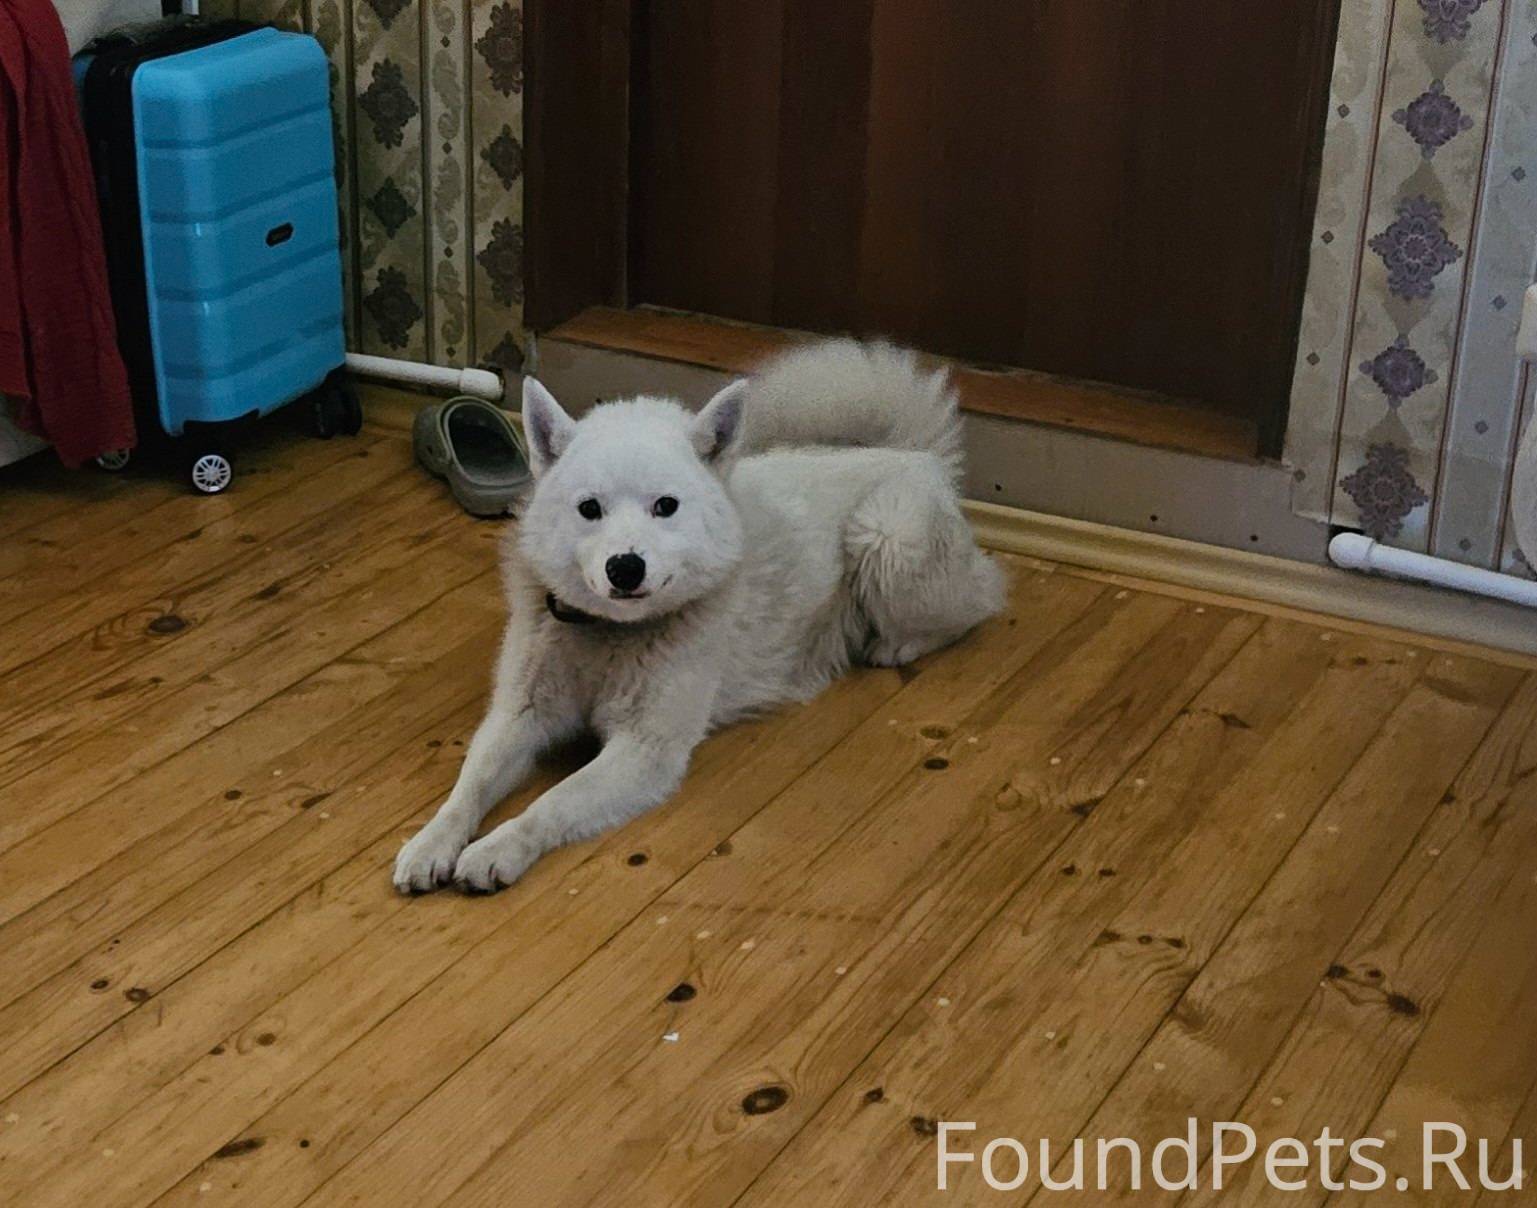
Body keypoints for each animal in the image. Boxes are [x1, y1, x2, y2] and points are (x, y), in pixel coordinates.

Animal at [393, 339, 1006, 894]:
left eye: (666, 506)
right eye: (589, 508)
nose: (625, 567)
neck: (609, 638)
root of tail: (917, 456)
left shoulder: (645, 749)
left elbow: (551, 803)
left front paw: (497, 849)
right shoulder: (519, 715)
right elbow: (468, 787)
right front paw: (430, 843)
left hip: (885, 538)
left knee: (983, 597)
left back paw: (895, 644)